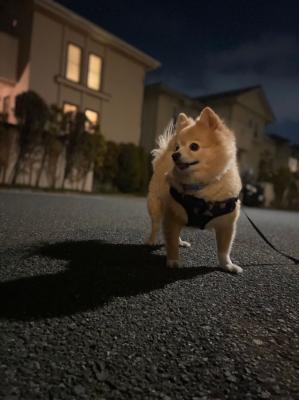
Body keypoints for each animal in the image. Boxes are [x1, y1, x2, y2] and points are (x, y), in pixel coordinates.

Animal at [147, 107, 244, 276]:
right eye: (177, 147)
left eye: (194, 146)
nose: (174, 155)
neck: (201, 188)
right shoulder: (172, 215)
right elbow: (171, 242)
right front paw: (173, 261)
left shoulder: (227, 225)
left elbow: (224, 250)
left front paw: (227, 265)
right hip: (156, 206)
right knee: (156, 224)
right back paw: (152, 240)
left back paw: (180, 242)